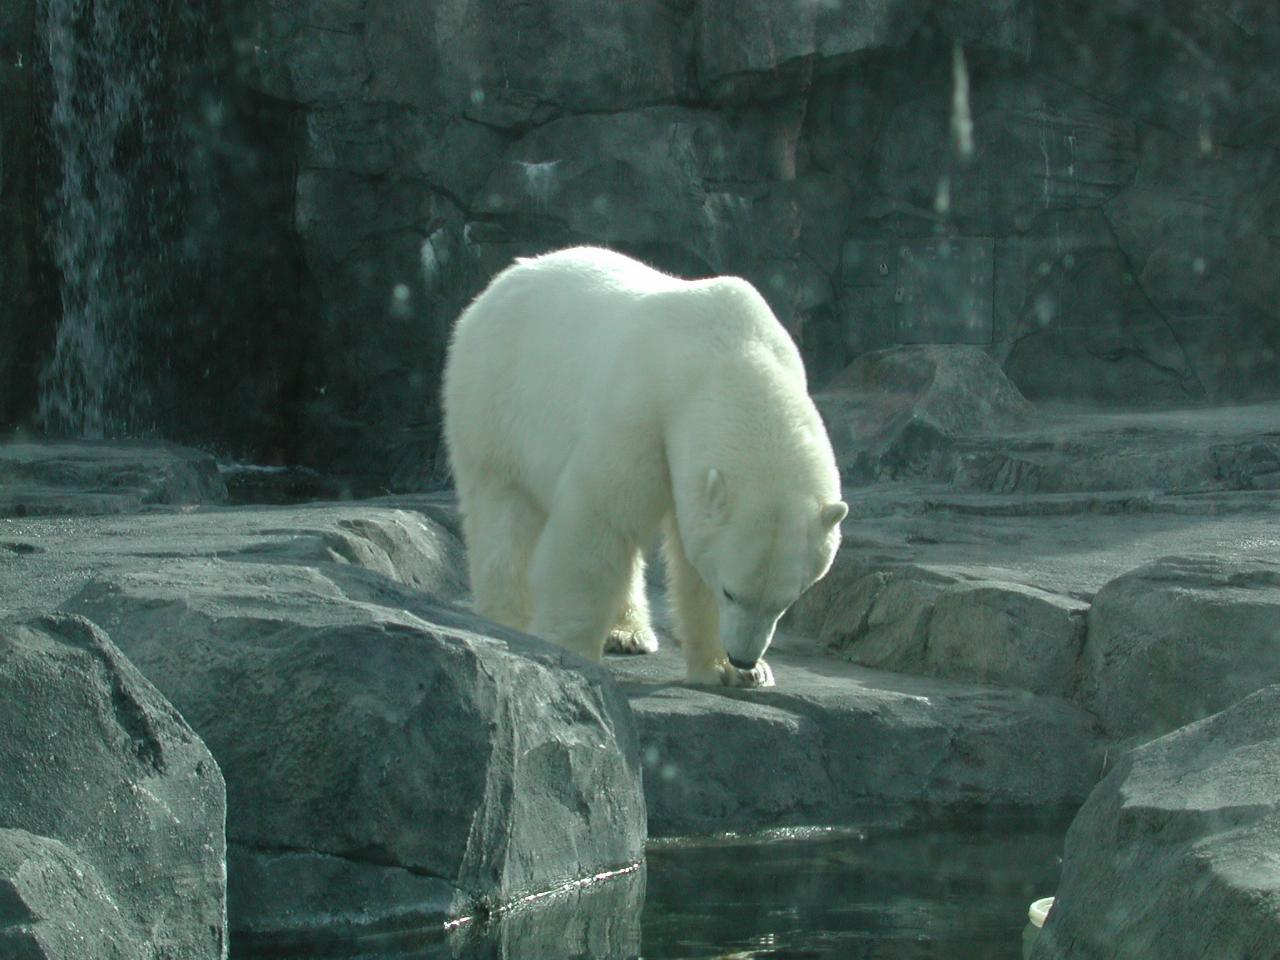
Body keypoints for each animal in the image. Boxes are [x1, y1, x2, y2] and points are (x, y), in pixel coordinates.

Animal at [442, 244, 849, 686]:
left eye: (785, 602)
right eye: (731, 591)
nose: (743, 657)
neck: (730, 358)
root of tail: (501, 282)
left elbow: (691, 553)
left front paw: (731, 671)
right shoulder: (643, 409)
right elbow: (599, 523)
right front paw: (572, 652)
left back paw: (629, 633)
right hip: (495, 399)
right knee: (502, 515)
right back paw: (508, 622)